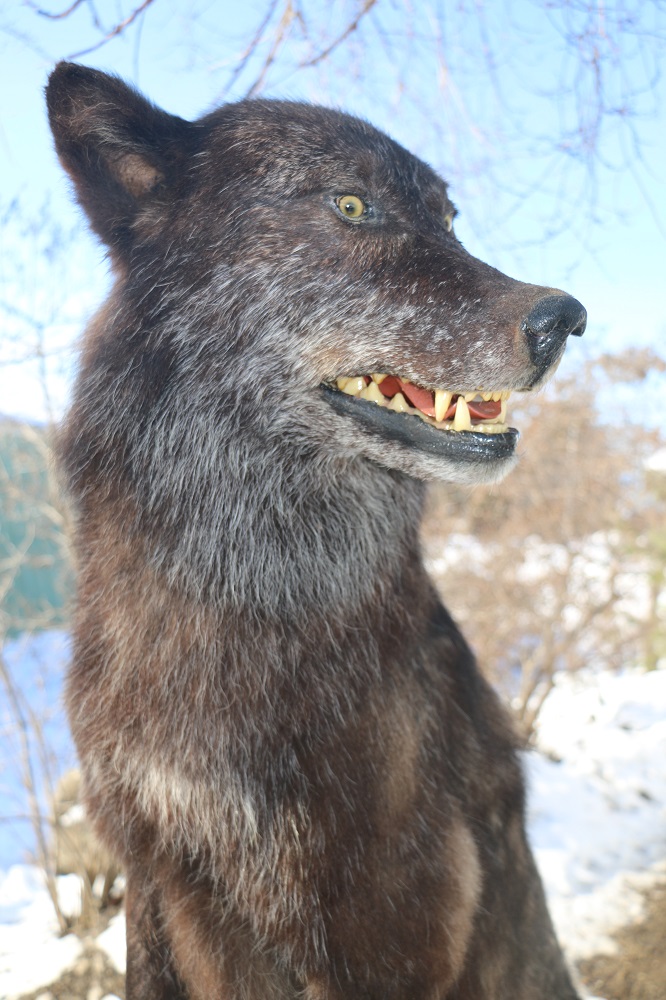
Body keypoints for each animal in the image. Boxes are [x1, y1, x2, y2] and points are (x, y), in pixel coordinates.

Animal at [47, 61, 586, 999]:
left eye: (449, 221)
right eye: (351, 205)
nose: (564, 318)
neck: (245, 588)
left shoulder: (384, 917)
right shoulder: (164, 876)